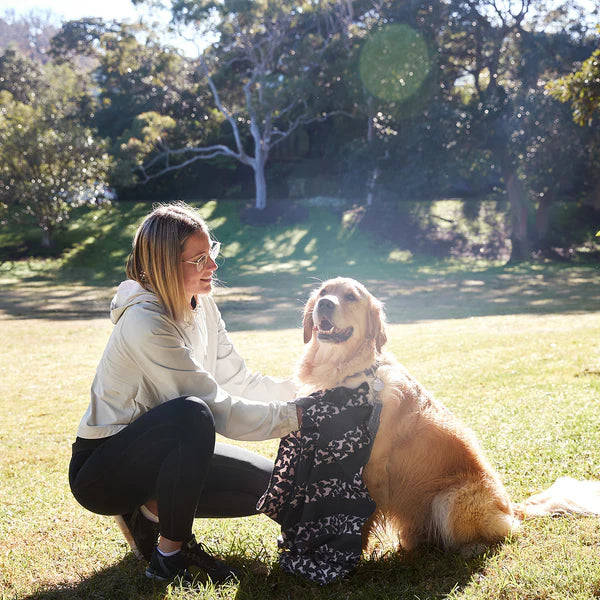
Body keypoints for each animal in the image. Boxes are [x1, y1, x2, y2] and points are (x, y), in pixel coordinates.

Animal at [296, 278, 600, 556]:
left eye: (350, 297)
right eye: (323, 293)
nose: (325, 304)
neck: (343, 371)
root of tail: (512, 506)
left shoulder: (370, 470)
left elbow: (361, 520)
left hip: (451, 498)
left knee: (501, 533)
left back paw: (469, 548)